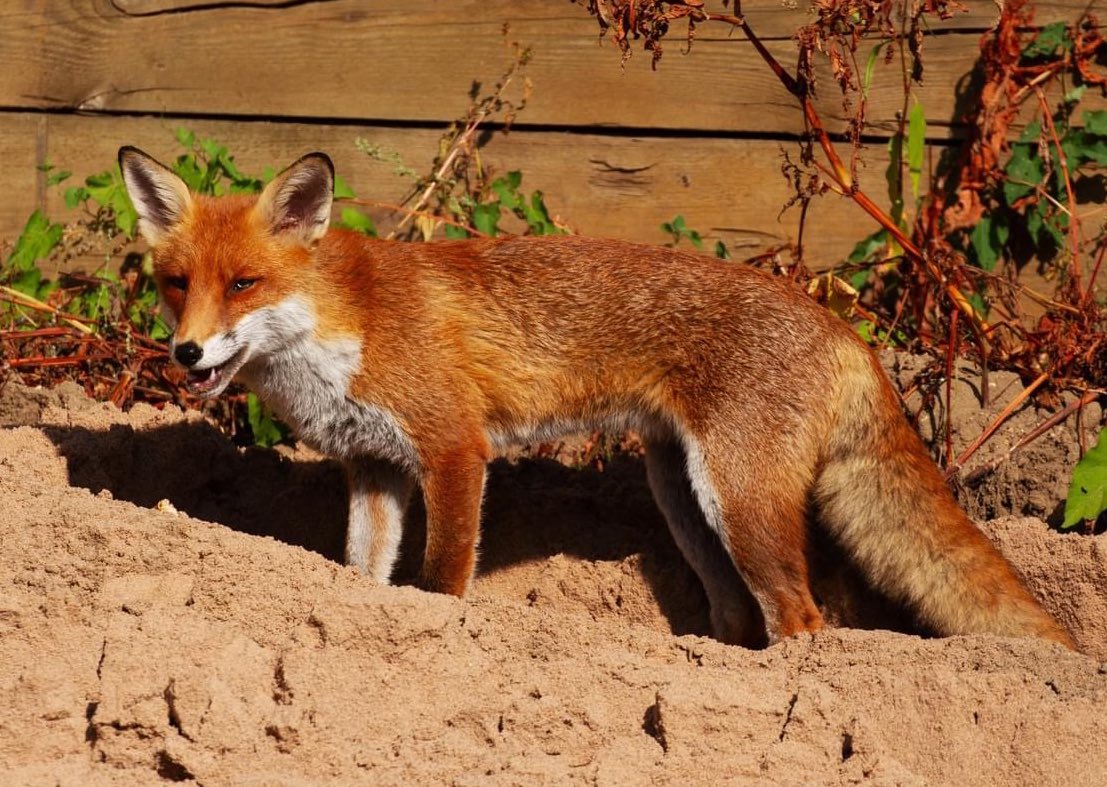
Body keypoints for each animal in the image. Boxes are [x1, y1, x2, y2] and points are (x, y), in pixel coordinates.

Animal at [118, 145, 1073, 650]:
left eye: (244, 283)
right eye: (177, 284)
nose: (185, 351)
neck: (341, 326)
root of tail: (842, 325)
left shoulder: (454, 448)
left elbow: (443, 576)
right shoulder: (373, 467)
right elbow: (362, 572)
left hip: (738, 500)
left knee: (801, 619)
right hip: (682, 495)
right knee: (738, 611)